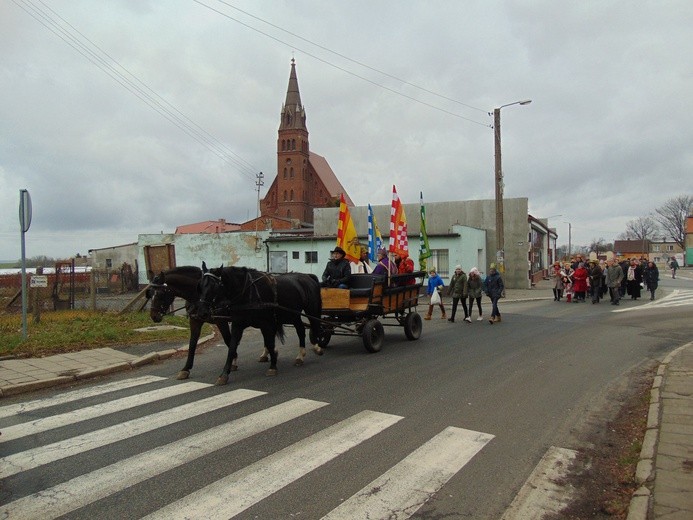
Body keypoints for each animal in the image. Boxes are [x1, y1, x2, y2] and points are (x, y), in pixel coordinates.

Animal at [196, 264, 324, 382]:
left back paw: (316, 347)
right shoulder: (238, 325)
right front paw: (224, 374)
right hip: (293, 315)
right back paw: (300, 355)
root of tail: (307, 276)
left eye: (214, 286)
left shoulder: (266, 324)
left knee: (315, 326)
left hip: (311, 310)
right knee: (301, 330)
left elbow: (270, 343)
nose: (202, 312)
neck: (247, 292)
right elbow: (232, 347)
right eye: (200, 286)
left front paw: (273, 366)